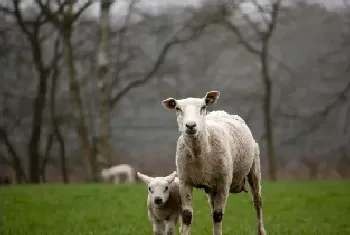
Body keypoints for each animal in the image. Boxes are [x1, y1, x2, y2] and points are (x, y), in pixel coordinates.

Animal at [163, 90, 266, 235]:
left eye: (203, 107)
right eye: (178, 108)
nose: (190, 125)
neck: (200, 154)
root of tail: (222, 112)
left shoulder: (224, 182)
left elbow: (218, 215)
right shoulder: (184, 181)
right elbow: (188, 215)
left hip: (254, 166)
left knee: (257, 201)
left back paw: (261, 230)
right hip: (211, 187)